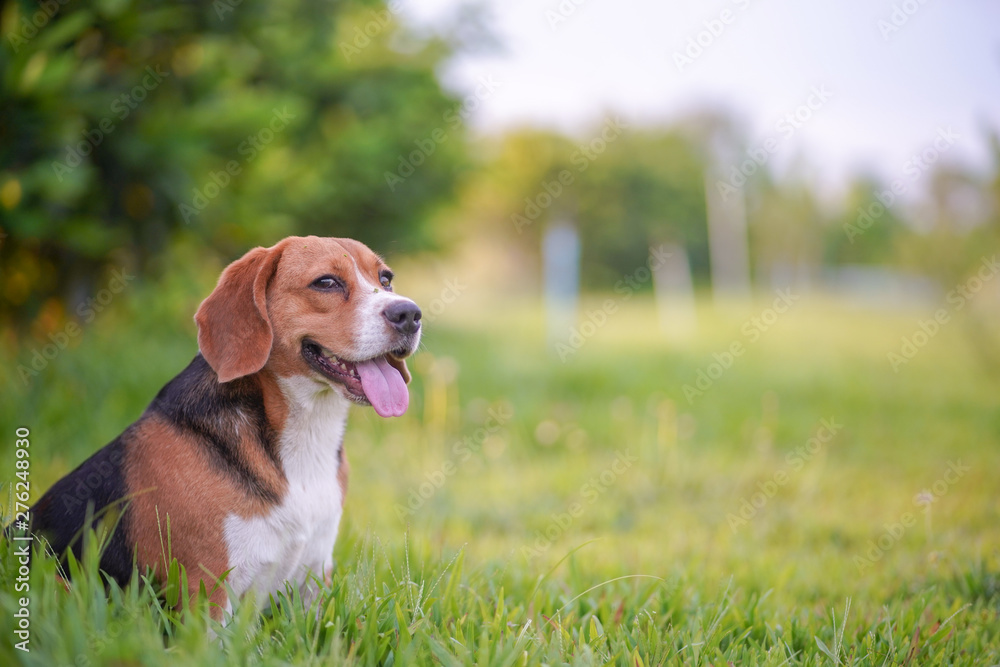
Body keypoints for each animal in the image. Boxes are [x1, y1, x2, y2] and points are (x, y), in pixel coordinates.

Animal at [26, 237, 418, 620]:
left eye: (386, 279)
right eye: (326, 282)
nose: (410, 314)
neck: (306, 438)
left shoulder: (313, 579)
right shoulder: (208, 589)